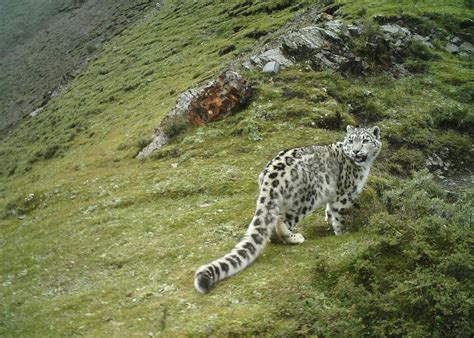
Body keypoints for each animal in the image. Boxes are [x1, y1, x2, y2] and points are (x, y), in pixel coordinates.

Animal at [193, 125, 382, 292]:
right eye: (351, 141)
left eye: (365, 140)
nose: (356, 151)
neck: (363, 168)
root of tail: (271, 174)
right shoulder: (344, 195)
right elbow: (341, 216)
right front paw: (344, 233)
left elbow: (329, 210)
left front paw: (329, 219)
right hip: (307, 197)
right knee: (282, 220)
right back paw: (293, 237)